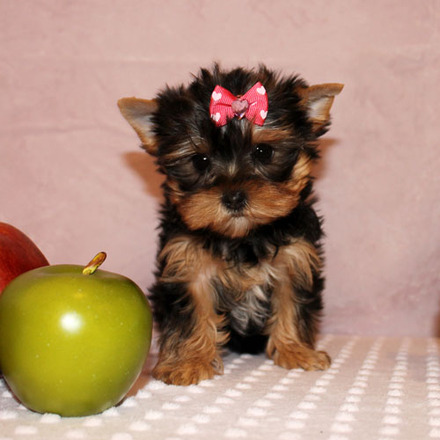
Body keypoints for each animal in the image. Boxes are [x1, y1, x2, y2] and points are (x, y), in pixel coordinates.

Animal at [117, 64, 344, 384]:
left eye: (263, 152)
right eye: (200, 160)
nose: (234, 197)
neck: (242, 238)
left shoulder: (296, 259)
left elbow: (292, 303)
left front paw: (297, 351)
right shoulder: (186, 263)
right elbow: (192, 311)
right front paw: (188, 361)